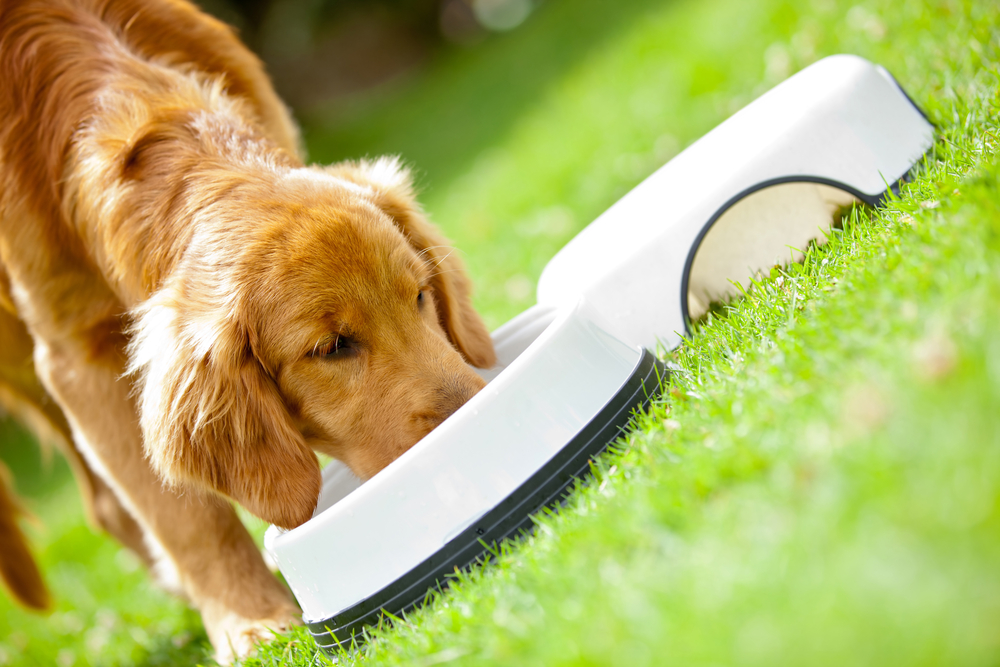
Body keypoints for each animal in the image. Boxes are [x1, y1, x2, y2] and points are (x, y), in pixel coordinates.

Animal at [0, 0, 496, 660]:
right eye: (330, 348)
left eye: (419, 295)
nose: (480, 423)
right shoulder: (75, 356)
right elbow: (187, 516)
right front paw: (249, 620)